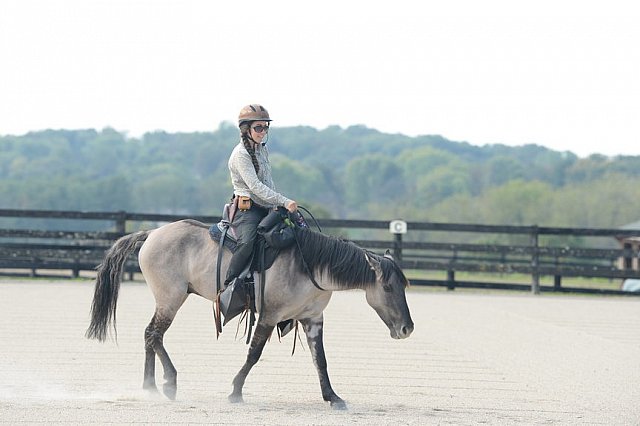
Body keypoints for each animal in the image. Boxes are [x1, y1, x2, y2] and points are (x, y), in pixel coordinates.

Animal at [86, 220, 416, 410]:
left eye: (403, 285)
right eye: (388, 287)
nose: (407, 329)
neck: (309, 265)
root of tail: (152, 233)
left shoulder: (313, 320)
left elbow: (320, 360)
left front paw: (332, 397)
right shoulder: (270, 315)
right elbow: (254, 354)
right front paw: (235, 391)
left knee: (150, 335)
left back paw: (150, 387)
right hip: (171, 298)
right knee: (153, 334)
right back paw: (167, 383)